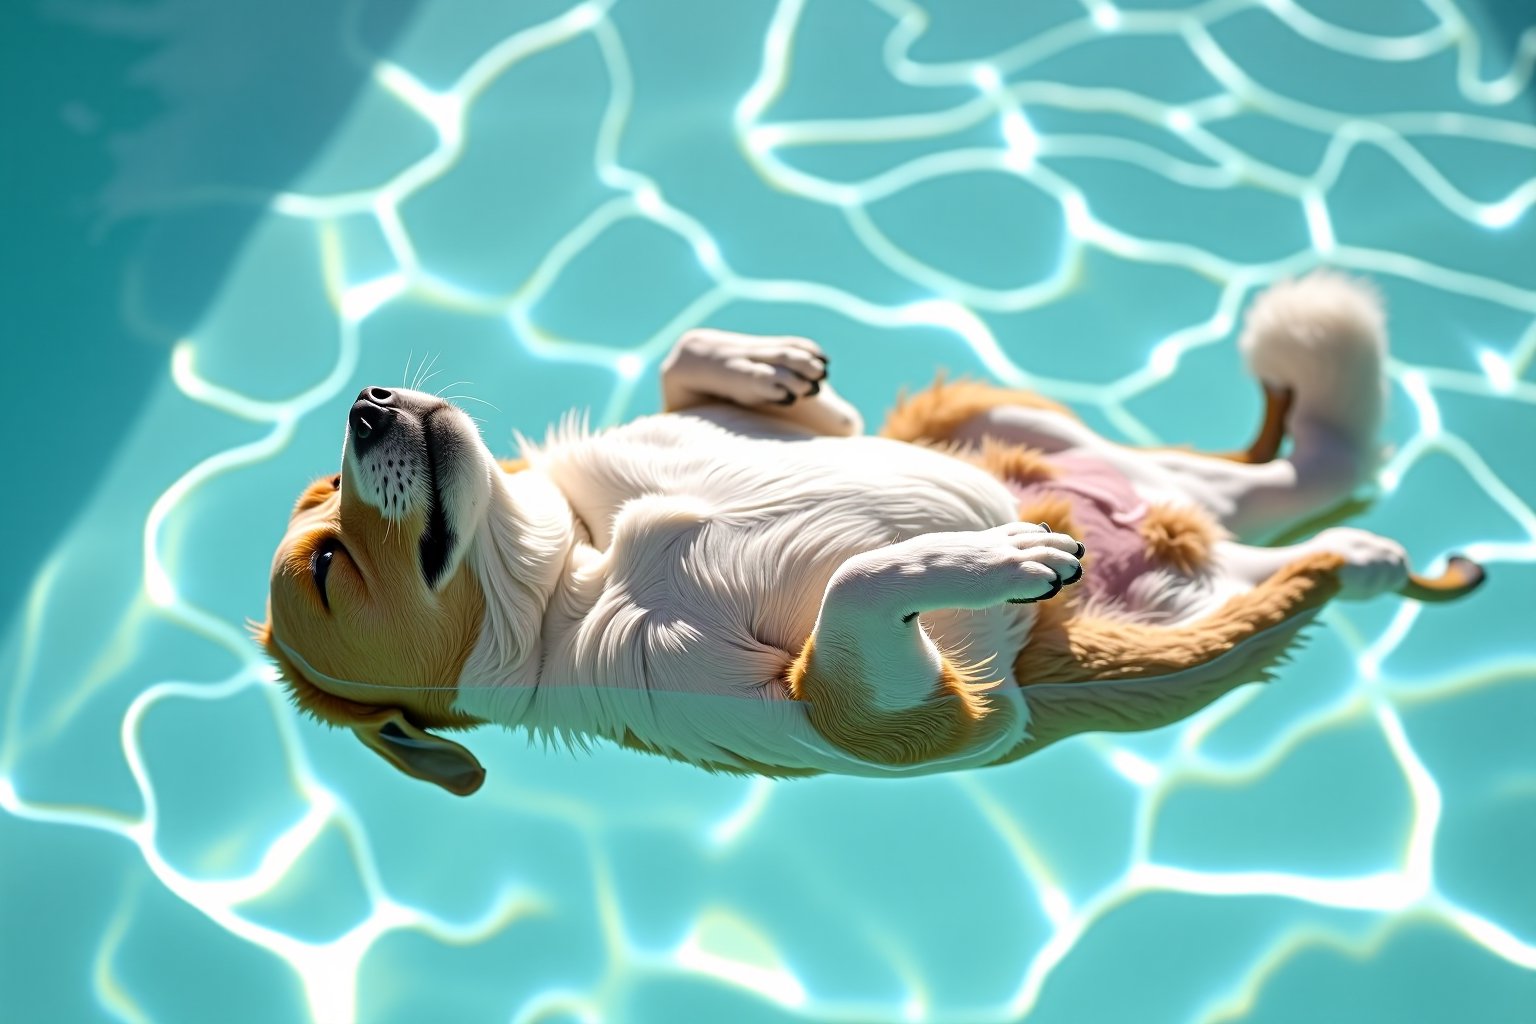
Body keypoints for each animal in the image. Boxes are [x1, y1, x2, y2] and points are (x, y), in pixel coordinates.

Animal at [258, 274, 1480, 798]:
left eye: (326, 491)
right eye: (325, 568)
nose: (365, 401)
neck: (580, 557)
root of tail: (1193, 537)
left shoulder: (800, 435)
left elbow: (705, 372)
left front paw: (759, 359)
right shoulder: (891, 721)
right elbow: (858, 583)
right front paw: (1000, 558)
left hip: (1016, 420)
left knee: (1275, 479)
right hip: (1205, 634)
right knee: (1296, 539)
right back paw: (1366, 561)